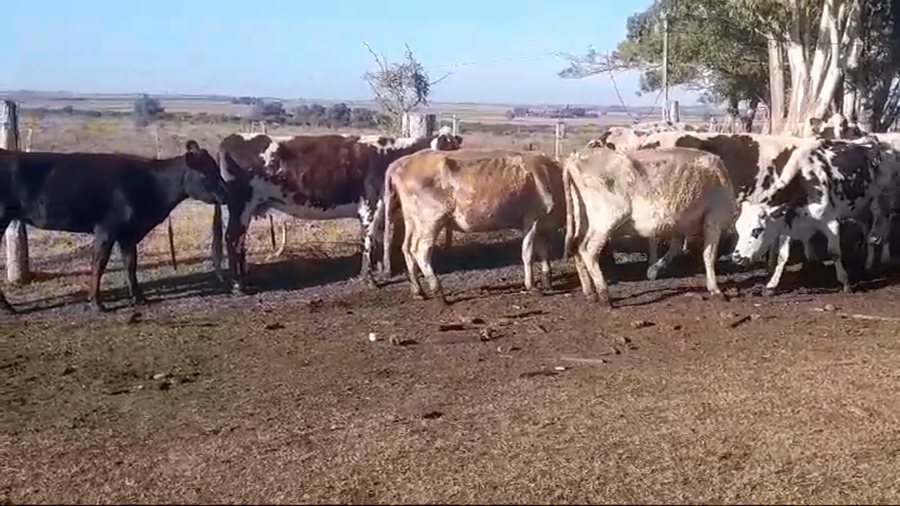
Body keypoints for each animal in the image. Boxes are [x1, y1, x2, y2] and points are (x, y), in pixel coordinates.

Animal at [0, 140, 234, 314]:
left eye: (216, 169)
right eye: (204, 173)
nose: (226, 194)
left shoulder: (128, 234)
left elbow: (130, 264)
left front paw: (139, 298)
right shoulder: (107, 229)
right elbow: (99, 264)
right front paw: (96, 303)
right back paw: (8, 308)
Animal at [212, 129, 463, 293]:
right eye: (450, 150)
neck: (391, 156)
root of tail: (231, 139)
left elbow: (376, 241)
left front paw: (379, 270)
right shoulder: (370, 206)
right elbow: (368, 242)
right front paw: (369, 279)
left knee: (238, 241)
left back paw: (244, 277)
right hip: (240, 205)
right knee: (232, 238)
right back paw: (237, 284)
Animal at [382, 149, 565, 304]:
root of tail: (402, 161)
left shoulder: (544, 226)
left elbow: (544, 252)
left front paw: (547, 281)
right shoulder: (532, 220)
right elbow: (527, 254)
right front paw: (532, 286)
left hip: (411, 220)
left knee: (406, 247)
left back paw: (418, 291)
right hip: (431, 220)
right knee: (420, 250)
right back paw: (438, 292)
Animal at [563, 146, 735, 306]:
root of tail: (574, 158)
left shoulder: (679, 223)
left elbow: (676, 247)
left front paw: (655, 269)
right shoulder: (714, 219)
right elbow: (709, 255)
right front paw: (715, 289)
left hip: (583, 220)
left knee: (577, 250)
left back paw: (589, 293)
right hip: (606, 219)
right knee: (588, 250)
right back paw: (604, 294)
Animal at [731, 135, 897, 294]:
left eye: (757, 230)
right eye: (738, 230)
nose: (736, 258)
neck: (804, 180)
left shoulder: (831, 222)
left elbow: (834, 252)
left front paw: (845, 283)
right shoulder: (788, 222)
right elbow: (782, 256)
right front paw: (772, 285)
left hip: (882, 202)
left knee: (885, 225)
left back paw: (885, 257)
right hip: (860, 208)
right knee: (867, 230)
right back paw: (868, 263)